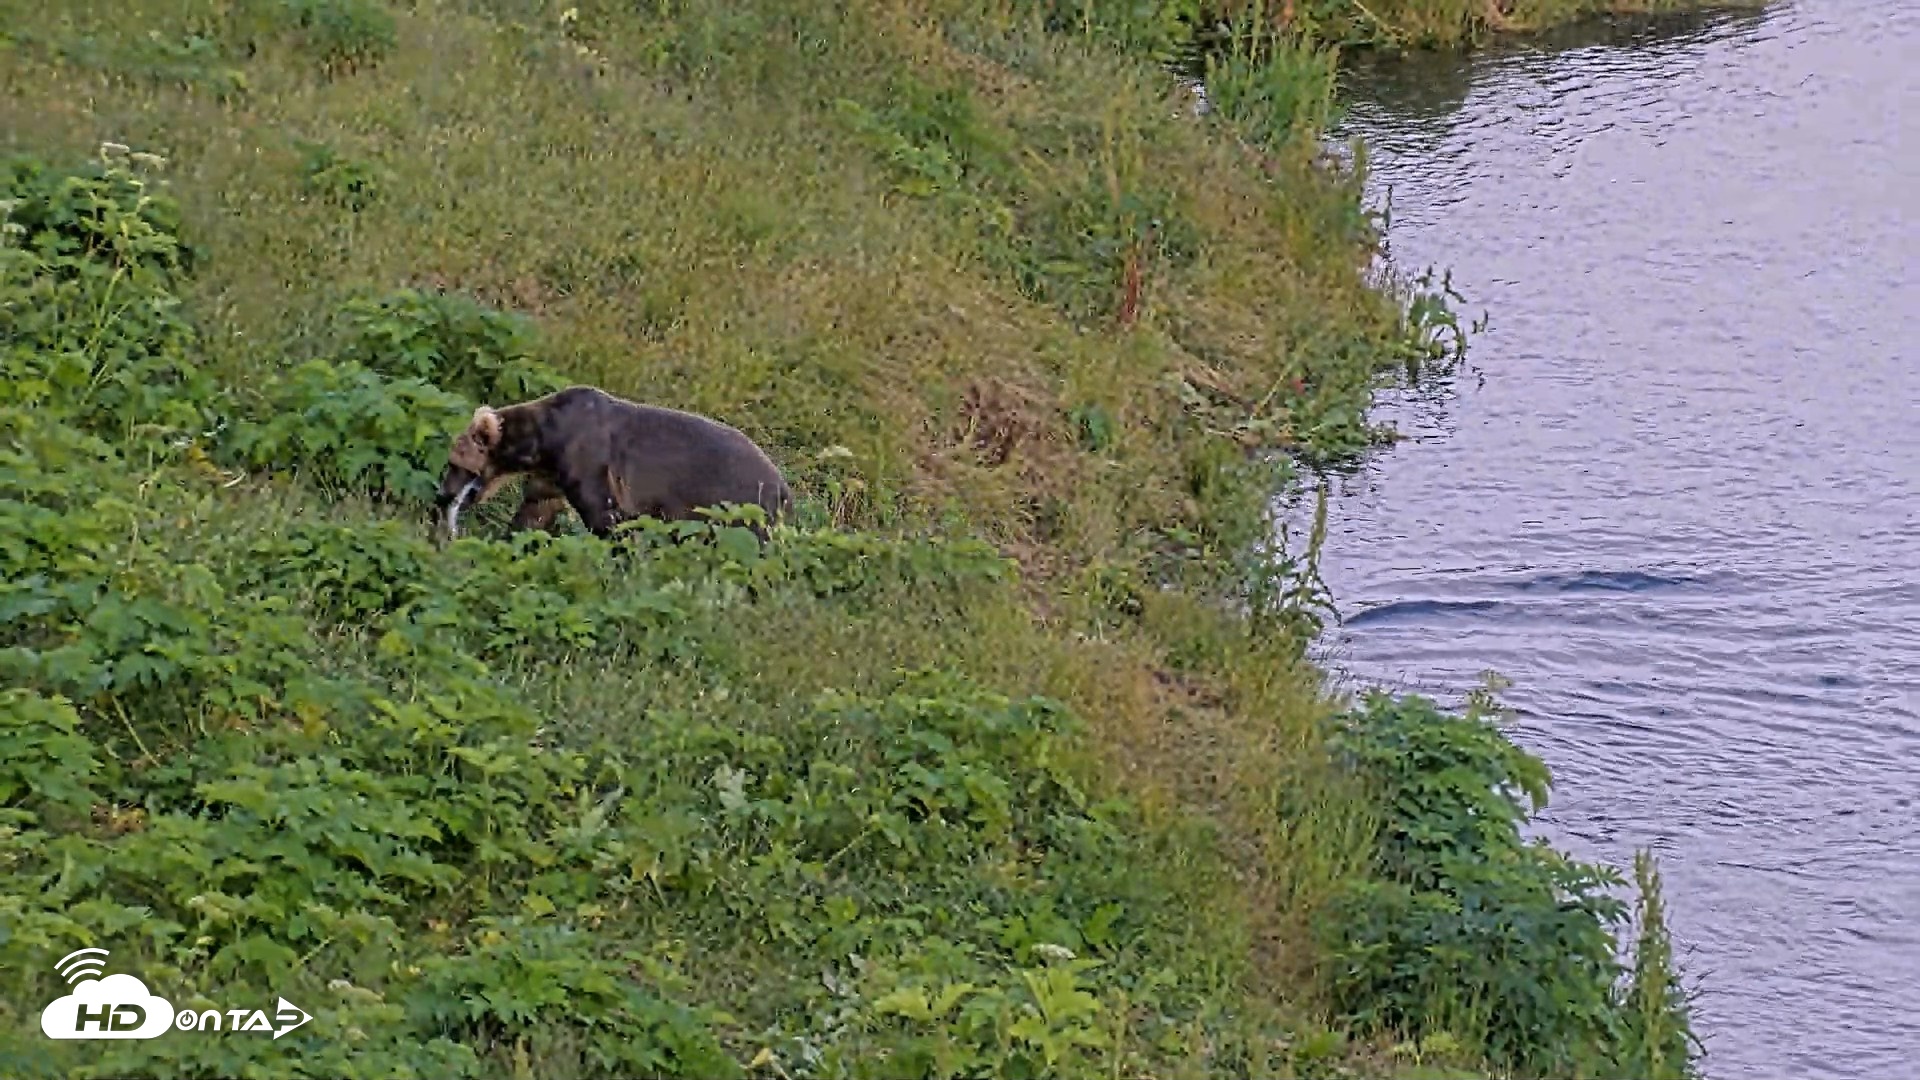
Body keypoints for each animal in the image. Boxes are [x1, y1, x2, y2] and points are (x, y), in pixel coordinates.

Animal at [433, 385, 793, 544]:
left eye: (455, 464)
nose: (441, 496)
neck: (543, 441)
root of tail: (782, 485)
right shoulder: (551, 475)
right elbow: (535, 510)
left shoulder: (586, 457)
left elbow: (605, 516)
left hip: (732, 503)